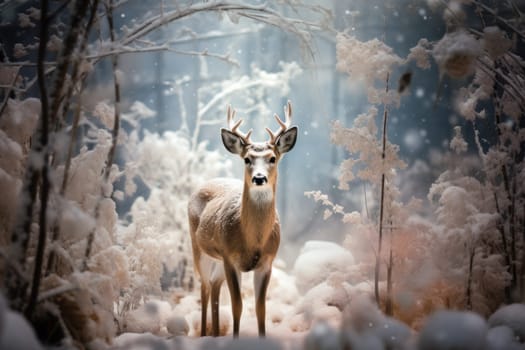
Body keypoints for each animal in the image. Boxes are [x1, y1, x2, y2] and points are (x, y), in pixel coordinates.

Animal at [186, 100, 296, 336]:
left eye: (272, 158)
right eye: (247, 159)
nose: (259, 178)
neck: (253, 241)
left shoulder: (267, 262)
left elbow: (261, 308)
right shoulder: (230, 257)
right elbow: (237, 306)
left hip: (218, 259)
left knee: (215, 286)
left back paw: (215, 333)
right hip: (199, 249)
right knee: (204, 287)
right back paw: (204, 333)